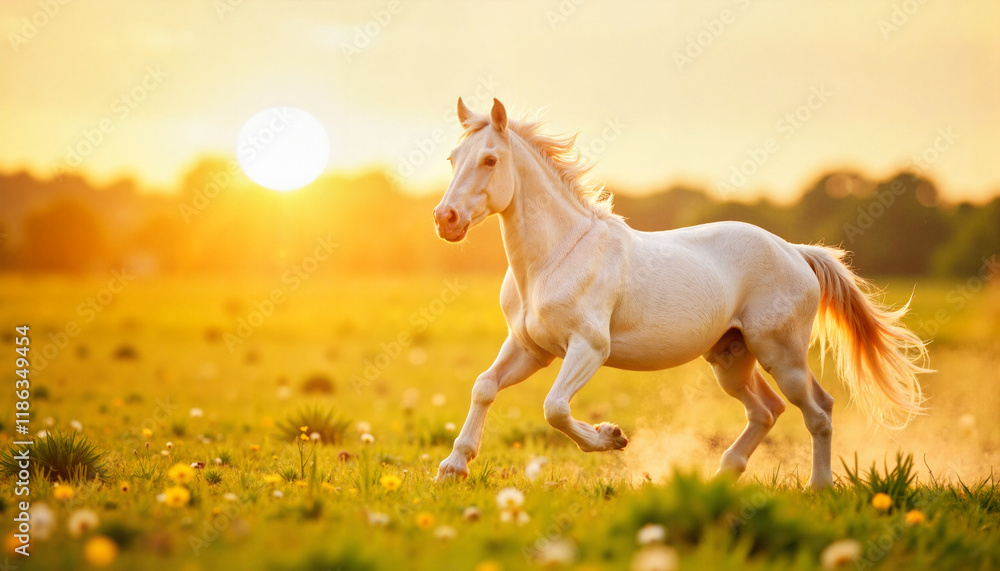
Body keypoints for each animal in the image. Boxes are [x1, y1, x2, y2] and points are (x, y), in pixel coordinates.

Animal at [431, 98, 929, 488]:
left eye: (490, 160)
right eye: (453, 158)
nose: (445, 220)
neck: (554, 258)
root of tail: (796, 252)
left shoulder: (589, 347)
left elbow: (554, 407)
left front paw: (612, 437)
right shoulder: (530, 347)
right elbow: (484, 386)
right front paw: (452, 468)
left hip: (781, 353)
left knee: (818, 411)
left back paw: (819, 487)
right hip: (731, 358)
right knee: (766, 411)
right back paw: (722, 476)